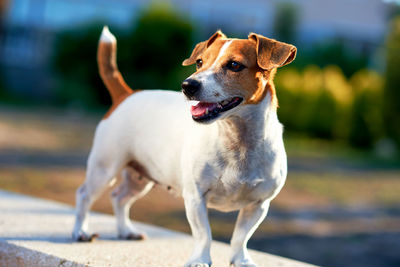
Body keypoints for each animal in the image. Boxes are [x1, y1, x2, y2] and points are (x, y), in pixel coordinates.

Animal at [72, 25, 296, 267]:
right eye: (199, 62)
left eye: (234, 65)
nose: (188, 85)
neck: (237, 140)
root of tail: (126, 94)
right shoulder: (195, 197)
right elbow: (203, 234)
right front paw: (200, 260)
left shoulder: (258, 205)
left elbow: (241, 237)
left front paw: (241, 260)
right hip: (104, 168)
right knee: (84, 195)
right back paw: (80, 232)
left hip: (140, 178)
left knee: (119, 198)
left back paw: (126, 231)